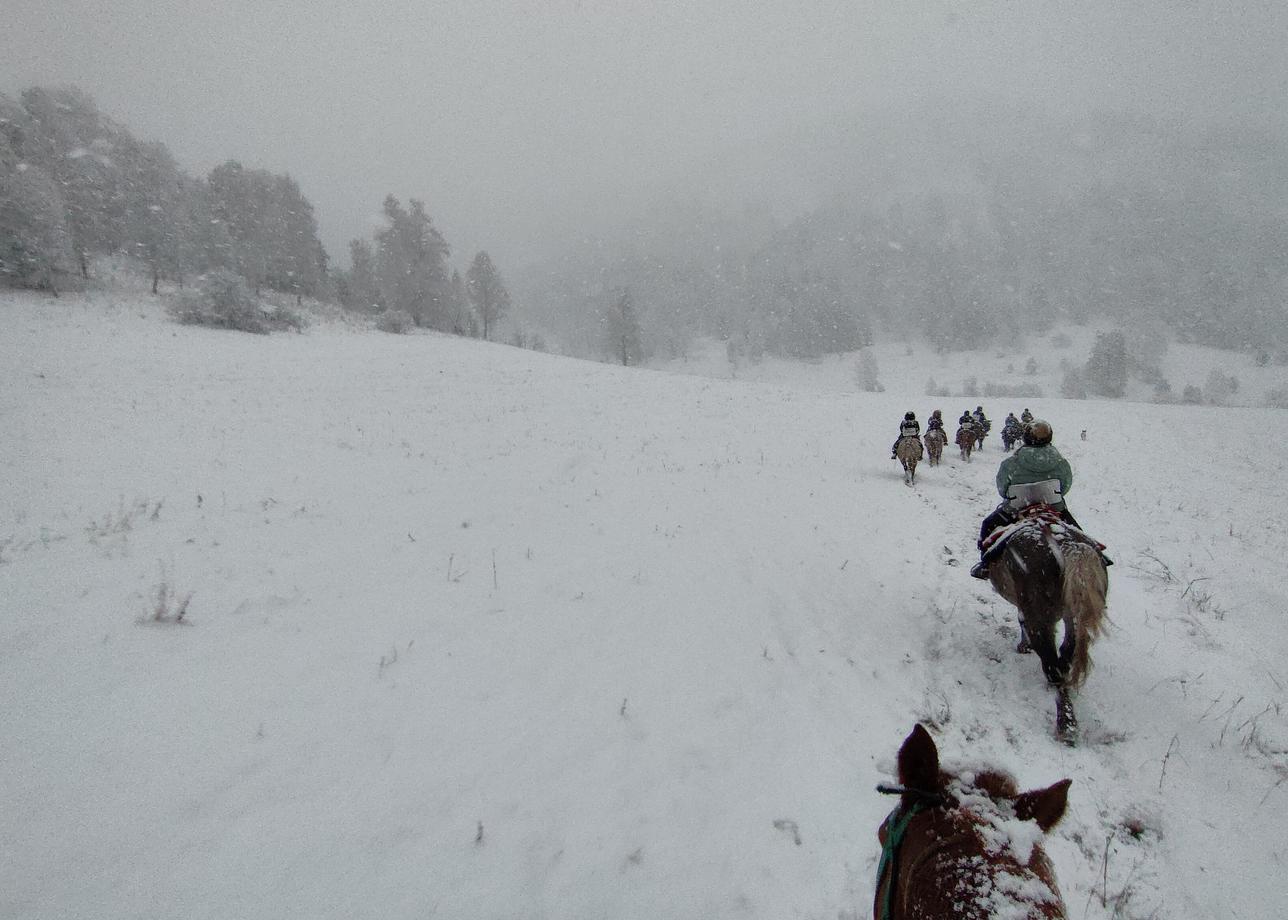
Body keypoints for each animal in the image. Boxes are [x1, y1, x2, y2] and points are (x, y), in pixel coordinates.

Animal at [984, 505, 1107, 742]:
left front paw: (1023, 646)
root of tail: (1067, 547)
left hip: (1039, 618)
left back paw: (1066, 726)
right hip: (1074, 618)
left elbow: (1022, 620)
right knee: (1066, 655)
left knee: (1053, 666)